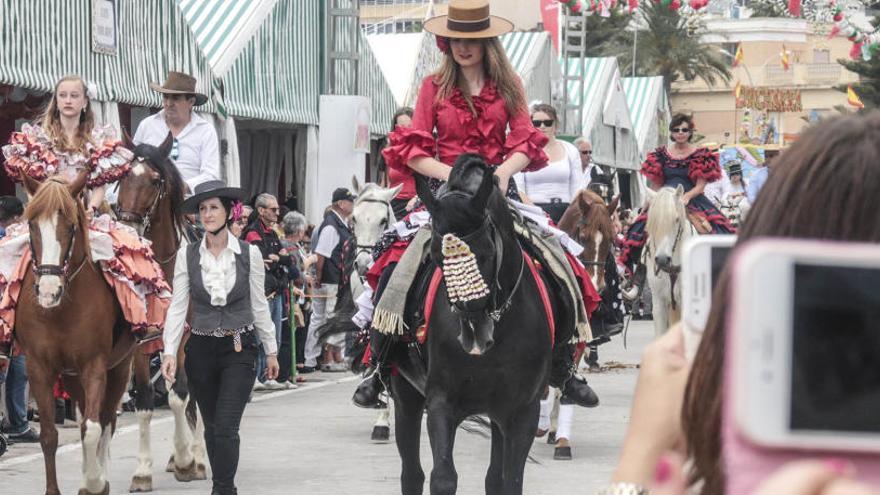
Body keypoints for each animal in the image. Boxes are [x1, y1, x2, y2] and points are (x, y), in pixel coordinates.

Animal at [15, 170, 134, 495]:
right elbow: (48, 435)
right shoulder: (39, 367)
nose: (48, 291)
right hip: (70, 375)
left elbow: (93, 428)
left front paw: (95, 481)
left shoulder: (95, 366)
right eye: (32, 225)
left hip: (120, 367)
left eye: (69, 226)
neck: (60, 311)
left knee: (105, 420)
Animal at [113, 137, 206, 492]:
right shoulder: (140, 344)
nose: (127, 227)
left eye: (154, 181)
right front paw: (143, 471)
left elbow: (179, 395)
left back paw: (198, 456)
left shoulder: (180, 338)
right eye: (121, 176)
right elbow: (143, 401)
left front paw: (186, 461)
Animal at [388, 155, 568, 495]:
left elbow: (510, 480)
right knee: (411, 473)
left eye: (486, 252)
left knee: (493, 477)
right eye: (435, 256)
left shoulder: (521, 410)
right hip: (406, 394)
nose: (475, 337)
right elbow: (443, 478)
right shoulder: (441, 401)